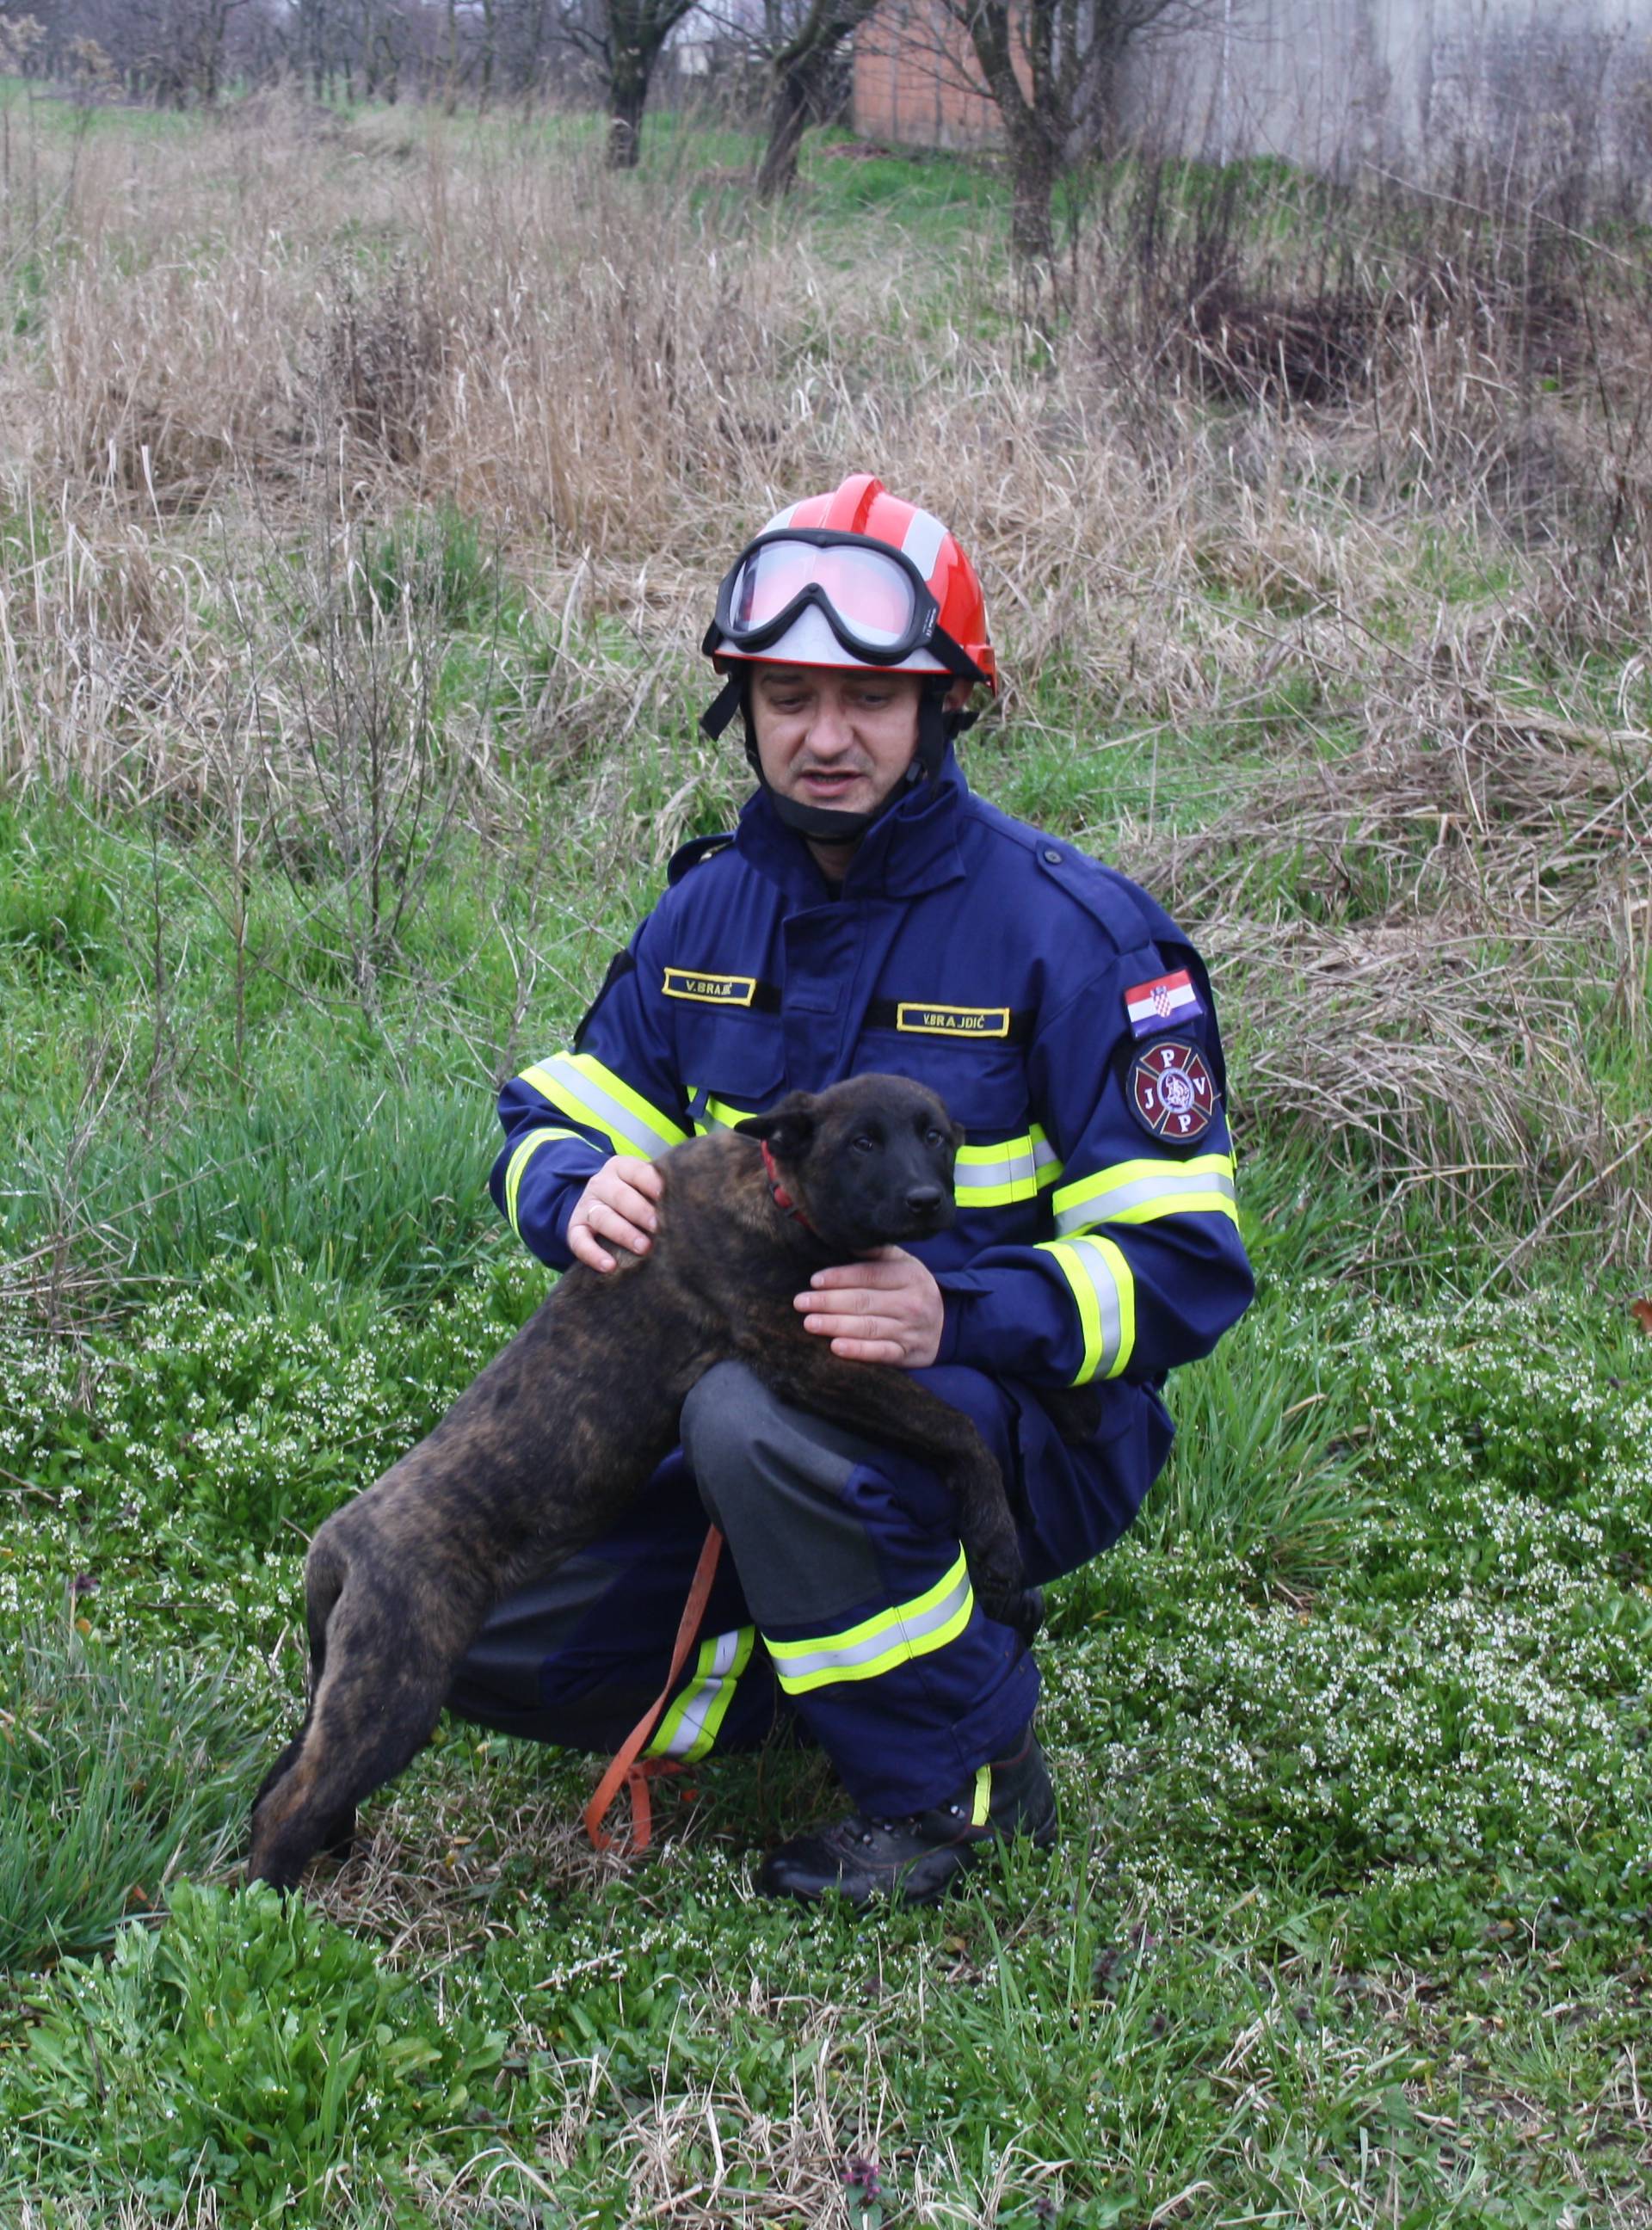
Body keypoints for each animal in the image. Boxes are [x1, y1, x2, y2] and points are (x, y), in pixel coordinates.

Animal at [248, 1070, 1043, 1891]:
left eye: (935, 1137)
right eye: (862, 1142)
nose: (927, 1200)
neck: (777, 1191)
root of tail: (336, 1543)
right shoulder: (803, 1355)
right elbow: (958, 1428)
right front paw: (1000, 1559)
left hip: (347, 1684)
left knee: (288, 1775)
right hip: (393, 1690)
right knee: (289, 1807)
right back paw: (273, 1907)